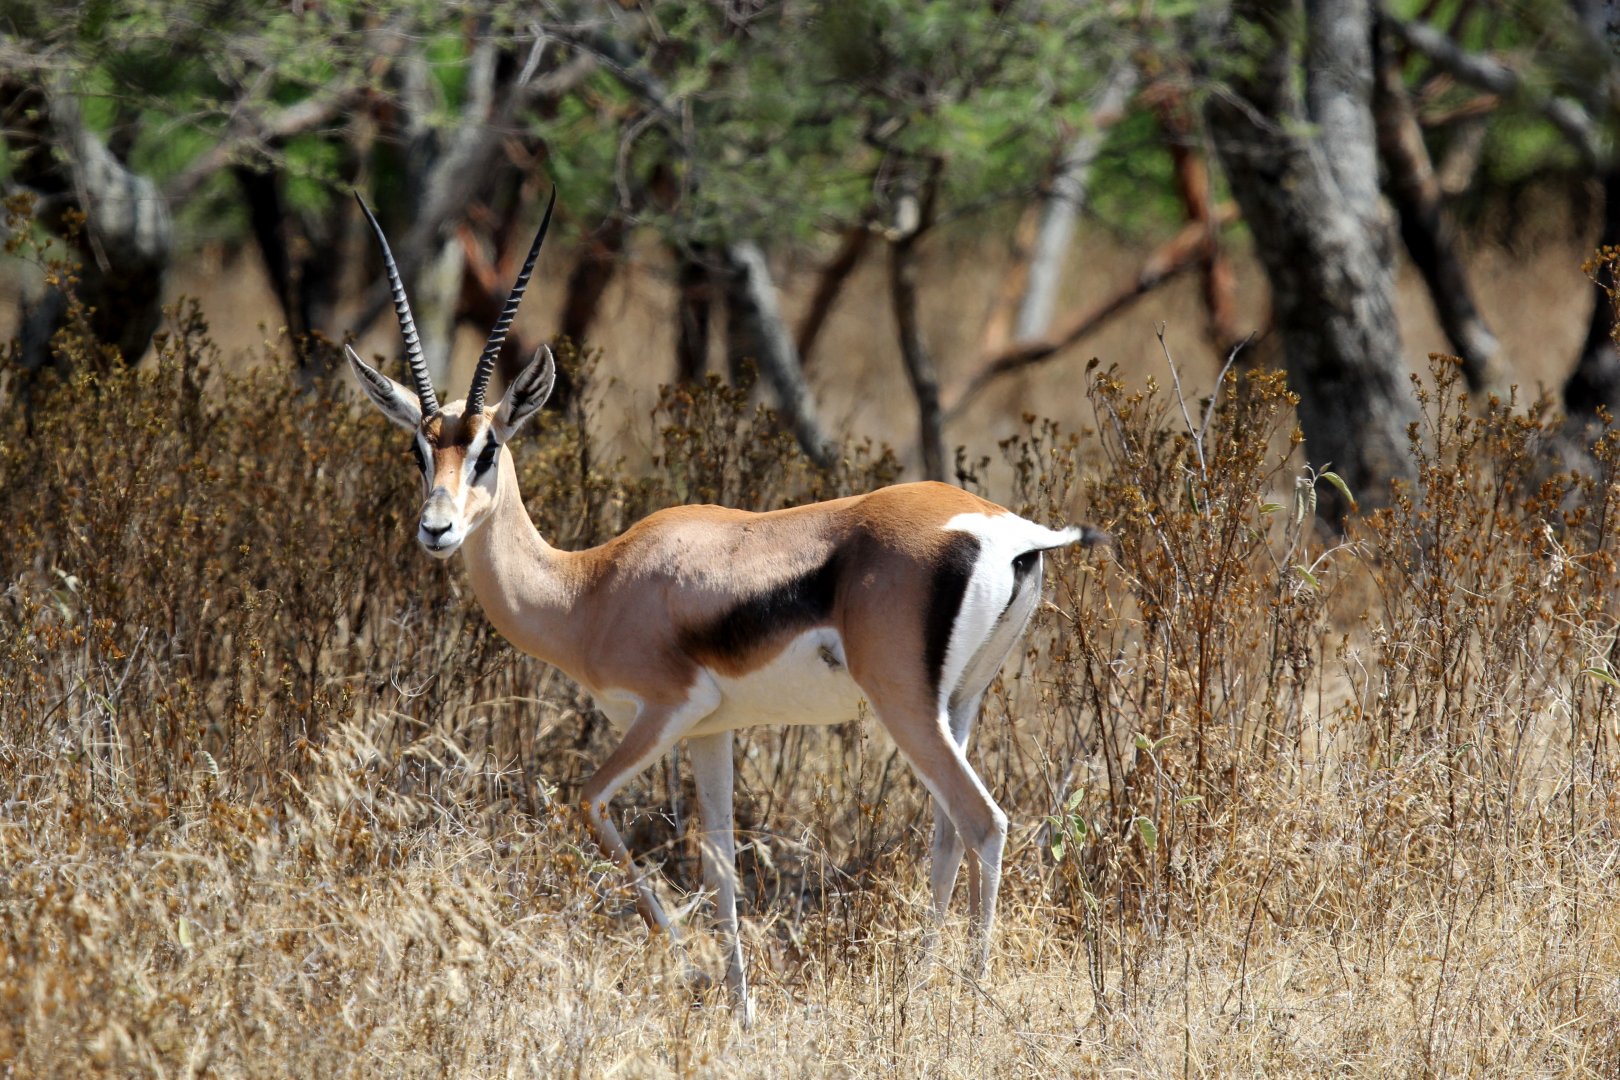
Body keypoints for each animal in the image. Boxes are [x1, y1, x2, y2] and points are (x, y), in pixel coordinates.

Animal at [345, 191, 1099, 1022]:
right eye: (420, 449)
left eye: (487, 449)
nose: (437, 529)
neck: (590, 586)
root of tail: (1010, 531)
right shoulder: (714, 731)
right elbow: (722, 864)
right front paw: (741, 1010)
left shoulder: (664, 711)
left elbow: (590, 805)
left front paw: (687, 969)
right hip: (957, 703)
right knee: (943, 836)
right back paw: (915, 993)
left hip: (903, 705)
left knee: (982, 821)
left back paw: (966, 1004)